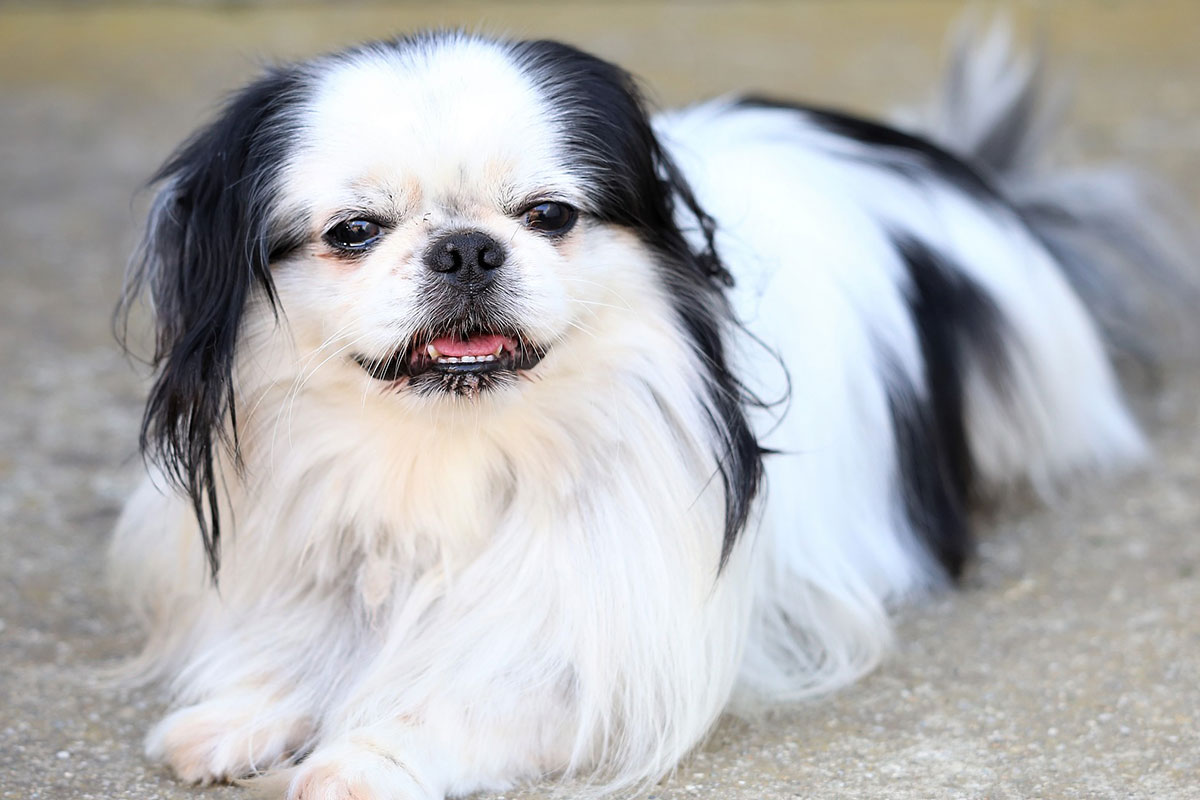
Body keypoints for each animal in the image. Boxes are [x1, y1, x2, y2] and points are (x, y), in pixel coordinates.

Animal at [110, 20, 1190, 800]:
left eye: (549, 215)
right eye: (353, 232)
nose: (465, 246)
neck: (451, 452)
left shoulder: (617, 648)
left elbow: (480, 692)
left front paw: (366, 758)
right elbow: (309, 632)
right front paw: (243, 708)